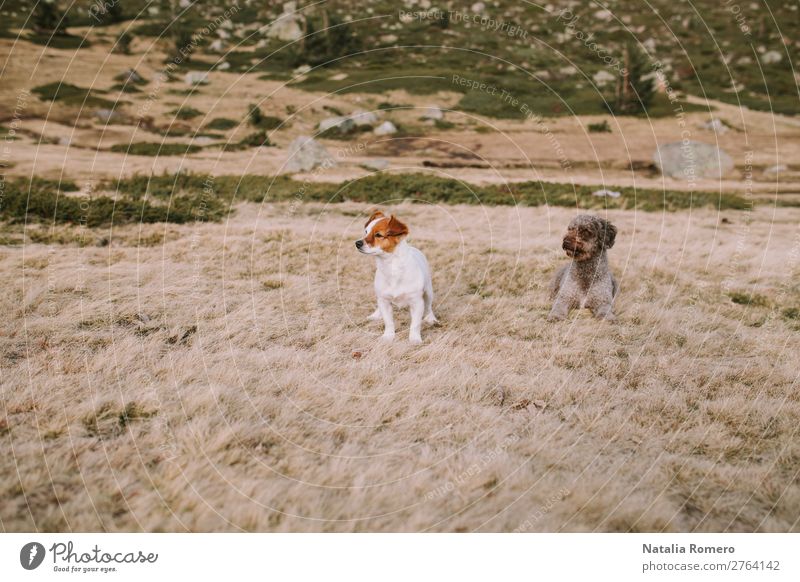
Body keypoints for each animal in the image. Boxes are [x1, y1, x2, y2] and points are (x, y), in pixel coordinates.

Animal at [356, 211, 438, 344]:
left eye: (378, 235)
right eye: (366, 232)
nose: (357, 243)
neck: (392, 268)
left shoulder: (417, 303)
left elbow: (415, 324)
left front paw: (414, 339)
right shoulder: (384, 301)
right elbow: (388, 322)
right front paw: (388, 336)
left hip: (429, 292)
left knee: (429, 306)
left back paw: (431, 318)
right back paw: (376, 315)